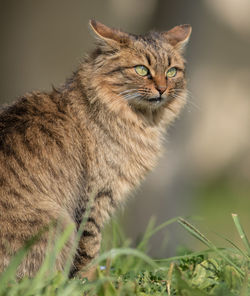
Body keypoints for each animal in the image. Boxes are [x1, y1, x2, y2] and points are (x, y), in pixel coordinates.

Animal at [0, 19, 191, 278]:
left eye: (172, 71)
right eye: (141, 69)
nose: (162, 89)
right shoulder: (94, 199)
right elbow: (89, 251)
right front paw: (92, 281)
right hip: (57, 221)